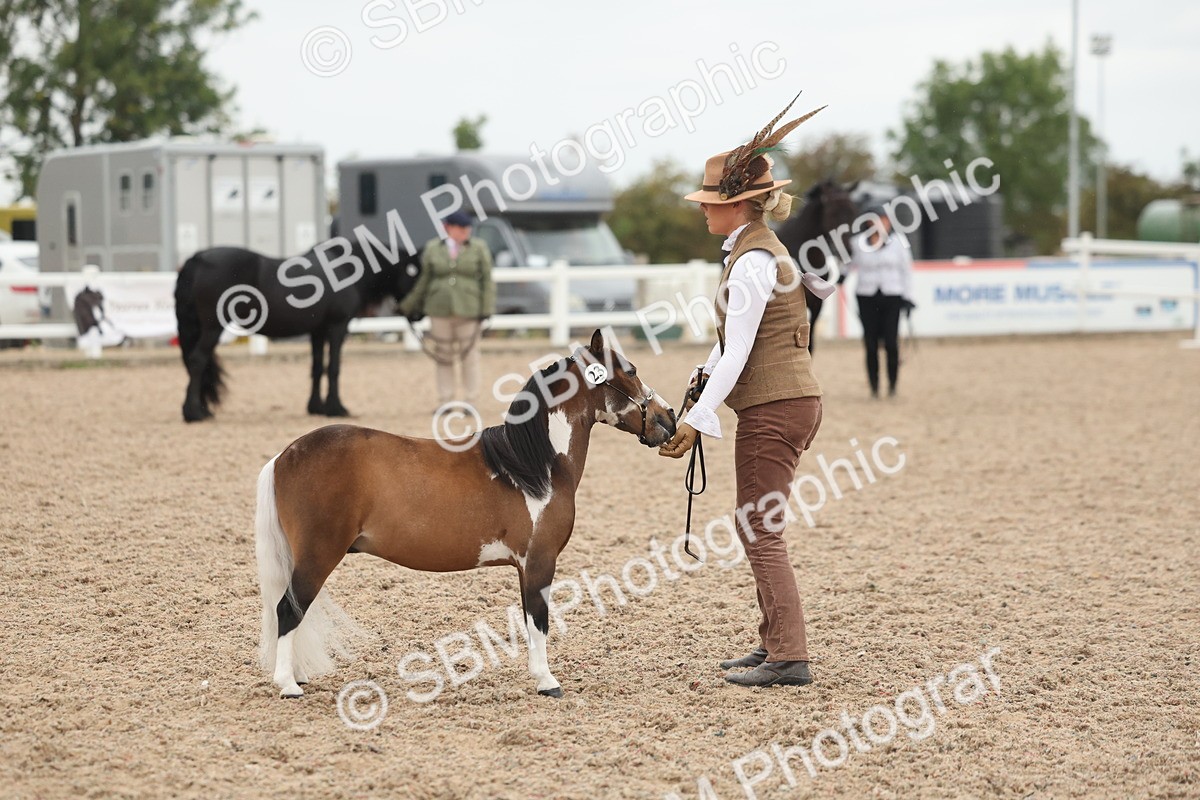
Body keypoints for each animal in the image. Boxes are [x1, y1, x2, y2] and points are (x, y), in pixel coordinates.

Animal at [174, 239, 420, 422]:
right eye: (415, 273)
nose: (418, 315)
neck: (344, 268)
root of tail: (198, 258)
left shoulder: (318, 331)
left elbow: (317, 367)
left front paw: (316, 407)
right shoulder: (337, 326)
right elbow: (334, 368)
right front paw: (336, 408)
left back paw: (202, 410)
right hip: (213, 327)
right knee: (197, 360)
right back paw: (194, 413)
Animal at [254, 329, 677, 699]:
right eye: (632, 370)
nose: (669, 417)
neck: (533, 464)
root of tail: (283, 456)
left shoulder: (525, 565)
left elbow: (528, 621)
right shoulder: (540, 561)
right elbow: (539, 621)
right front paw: (547, 681)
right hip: (318, 556)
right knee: (287, 610)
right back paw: (288, 685)